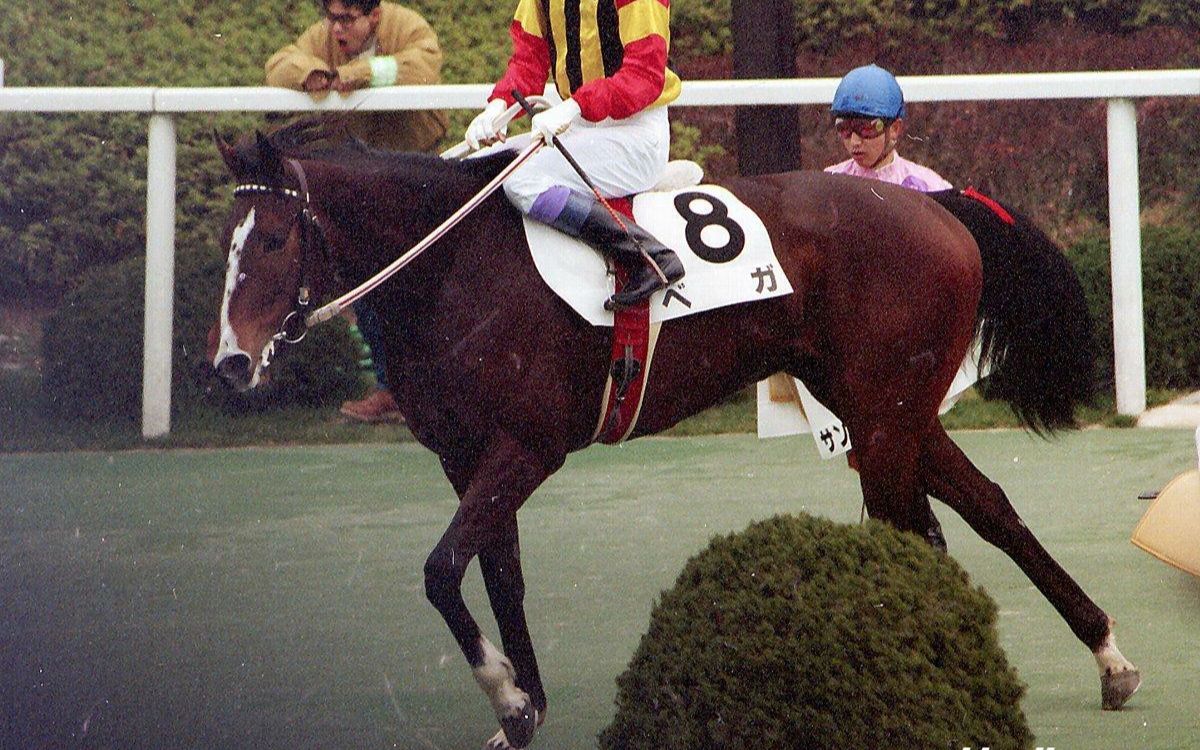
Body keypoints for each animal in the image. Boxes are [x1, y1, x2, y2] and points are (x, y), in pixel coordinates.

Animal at [208, 123, 1142, 748]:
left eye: (278, 238)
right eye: (226, 244)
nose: (230, 364)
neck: (454, 270)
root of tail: (935, 206)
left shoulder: (525, 449)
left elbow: (442, 572)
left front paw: (508, 699)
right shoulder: (464, 458)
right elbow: (499, 577)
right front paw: (526, 708)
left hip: (881, 420)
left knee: (914, 533)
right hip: (891, 411)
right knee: (988, 510)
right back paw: (1107, 652)